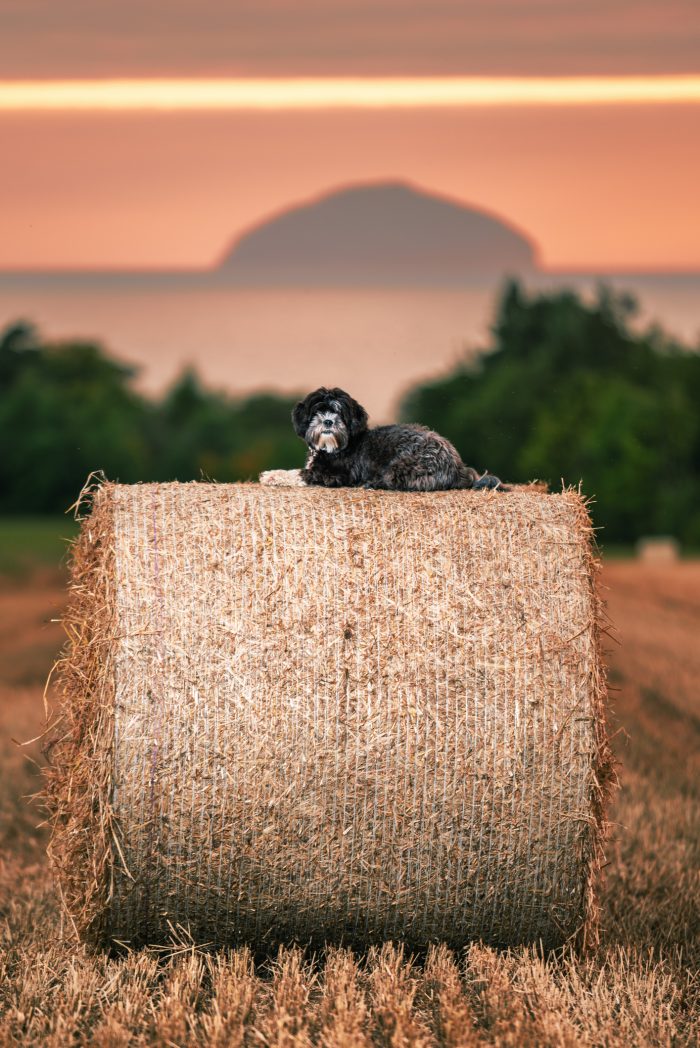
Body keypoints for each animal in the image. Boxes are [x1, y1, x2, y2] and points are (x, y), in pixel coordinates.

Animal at [291, 387, 509, 492]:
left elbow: (308, 474)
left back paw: (373, 484)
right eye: (317, 411)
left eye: (339, 413)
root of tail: (459, 467)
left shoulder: (341, 475)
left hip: (402, 466)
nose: (328, 421)